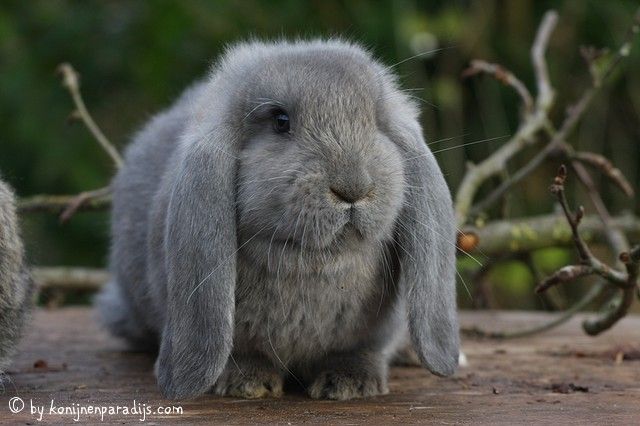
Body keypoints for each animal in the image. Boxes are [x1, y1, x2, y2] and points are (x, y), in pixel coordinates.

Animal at [97, 39, 459, 400]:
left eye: (376, 121)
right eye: (280, 121)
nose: (353, 188)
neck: (315, 264)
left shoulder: (373, 333)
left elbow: (359, 352)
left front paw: (350, 384)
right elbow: (241, 354)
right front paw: (246, 383)